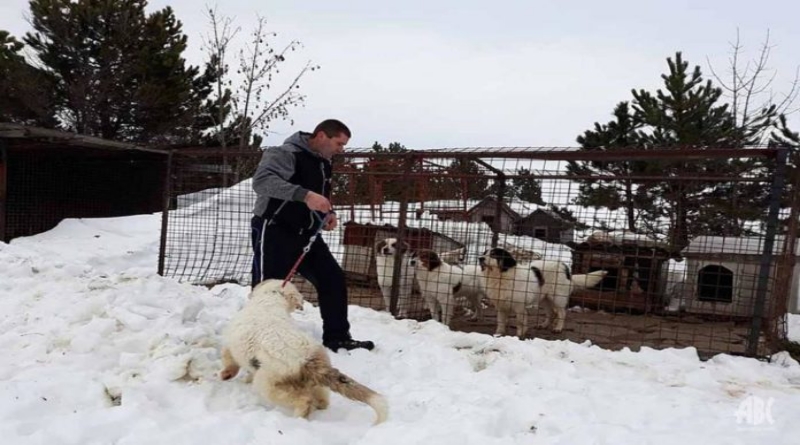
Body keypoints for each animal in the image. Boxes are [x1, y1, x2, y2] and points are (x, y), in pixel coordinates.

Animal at [220, 280, 390, 424]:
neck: (270, 301)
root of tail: (308, 360)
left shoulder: (230, 346)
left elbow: (230, 362)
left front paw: (225, 376)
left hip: (269, 384)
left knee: (304, 399)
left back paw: (299, 418)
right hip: (315, 382)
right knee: (322, 398)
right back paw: (319, 407)